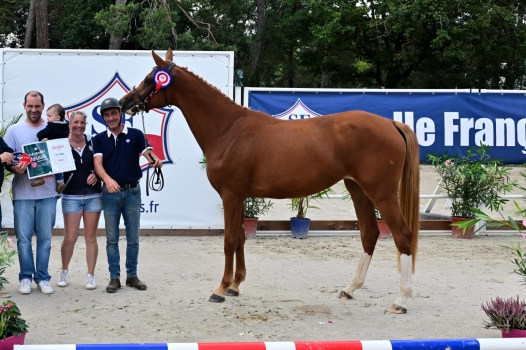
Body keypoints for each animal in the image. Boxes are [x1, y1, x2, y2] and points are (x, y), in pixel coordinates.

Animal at [119, 47, 420, 314]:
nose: (124, 103)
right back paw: (350, 288)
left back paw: (401, 300)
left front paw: (220, 289)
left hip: (382, 193)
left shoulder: (231, 195)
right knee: (369, 234)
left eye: (150, 79)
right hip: (358, 190)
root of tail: (392, 123)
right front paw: (235, 285)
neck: (228, 129)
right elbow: (241, 238)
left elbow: (229, 240)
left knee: (402, 235)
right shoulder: (240, 196)